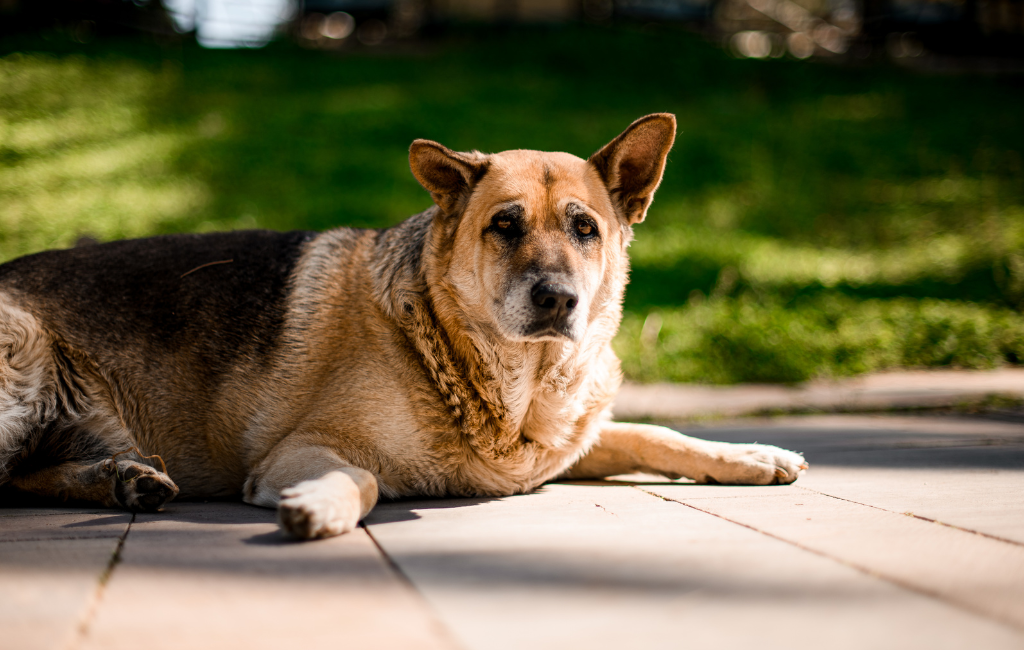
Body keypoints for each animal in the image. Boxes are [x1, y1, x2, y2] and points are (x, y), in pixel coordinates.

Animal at [0, 113, 802, 540]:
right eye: (504, 226)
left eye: (586, 229)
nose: (558, 301)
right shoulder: (306, 448)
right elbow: (361, 476)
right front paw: (323, 504)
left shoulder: (565, 446)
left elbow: (655, 434)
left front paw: (750, 454)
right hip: (22, 355)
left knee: (19, 479)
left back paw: (123, 479)